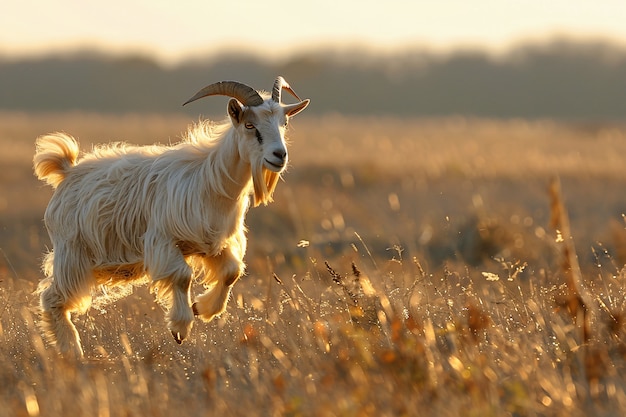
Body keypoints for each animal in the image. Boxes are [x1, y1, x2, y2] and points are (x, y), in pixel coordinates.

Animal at [31, 76, 310, 356]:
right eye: (250, 125)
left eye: (284, 124)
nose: (279, 155)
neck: (210, 180)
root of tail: (67, 171)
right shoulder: (163, 240)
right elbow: (183, 276)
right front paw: (180, 328)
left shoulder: (212, 243)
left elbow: (232, 271)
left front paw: (203, 308)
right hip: (73, 254)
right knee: (52, 298)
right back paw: (72, 351)